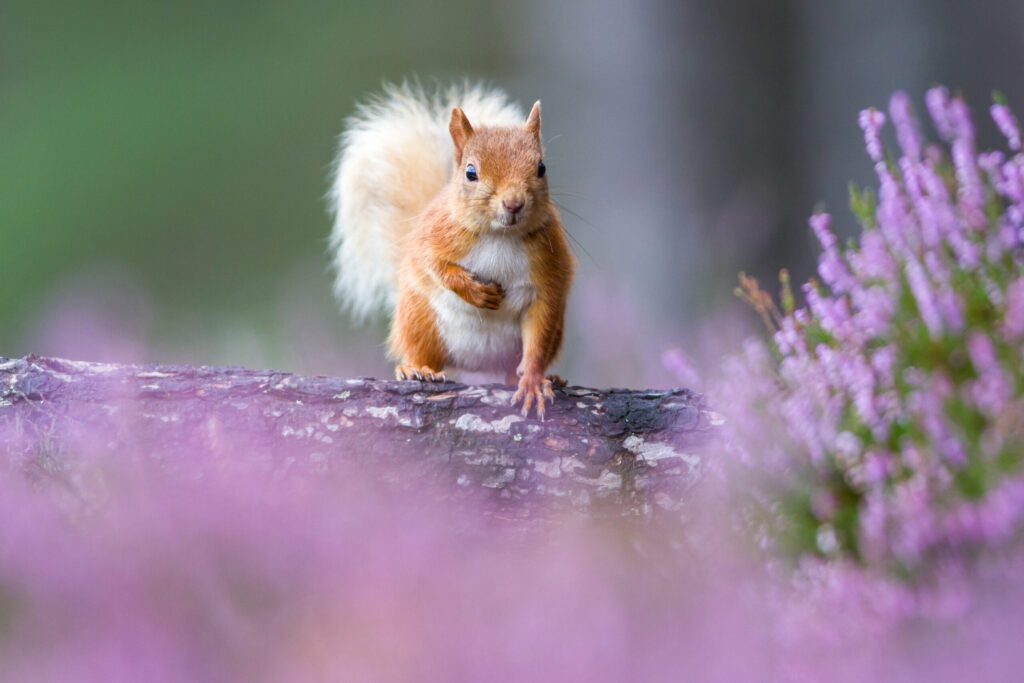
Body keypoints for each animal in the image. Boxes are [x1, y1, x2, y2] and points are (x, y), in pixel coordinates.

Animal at [328, 82, 575, 418]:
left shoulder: (547, 270)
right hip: (419, 319)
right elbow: (434, 264)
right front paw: (475, 292)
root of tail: (477, 363)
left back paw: (549, 378)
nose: (513, 203)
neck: (499, 236)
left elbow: (538, 336)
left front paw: (535, 382)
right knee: (421, 351)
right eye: (471, 172)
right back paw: (417, 370)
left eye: (541, 167)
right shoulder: (435, 236)